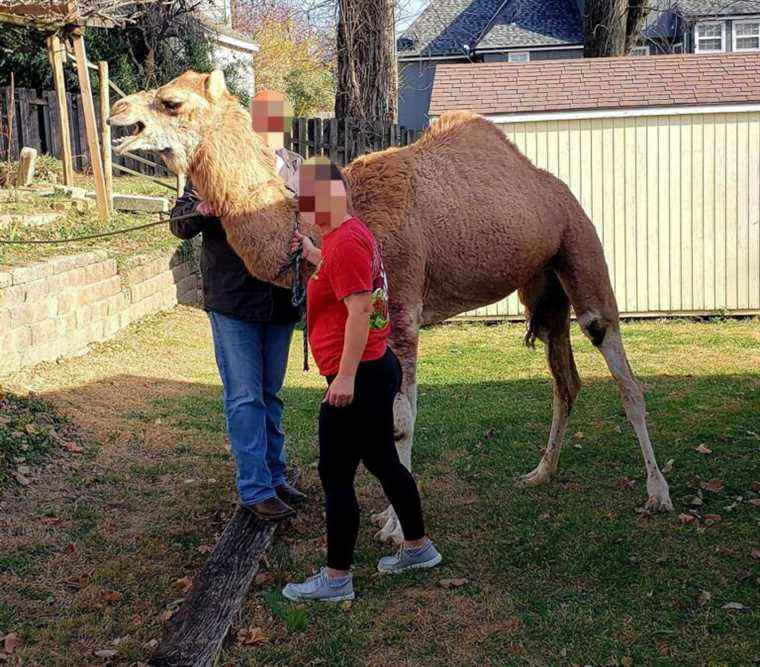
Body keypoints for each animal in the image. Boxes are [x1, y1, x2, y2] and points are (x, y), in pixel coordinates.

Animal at [110, 70, 672, 544]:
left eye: (171, 101)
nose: (116, 113)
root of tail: (555, 189)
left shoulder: (400, 303)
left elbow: (401, 418)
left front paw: (398, 530)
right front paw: (389, 514)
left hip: (580, 246)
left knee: (621, 372)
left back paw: (657, 493)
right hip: (543, 286)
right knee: (565, 379)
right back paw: (541, 472)